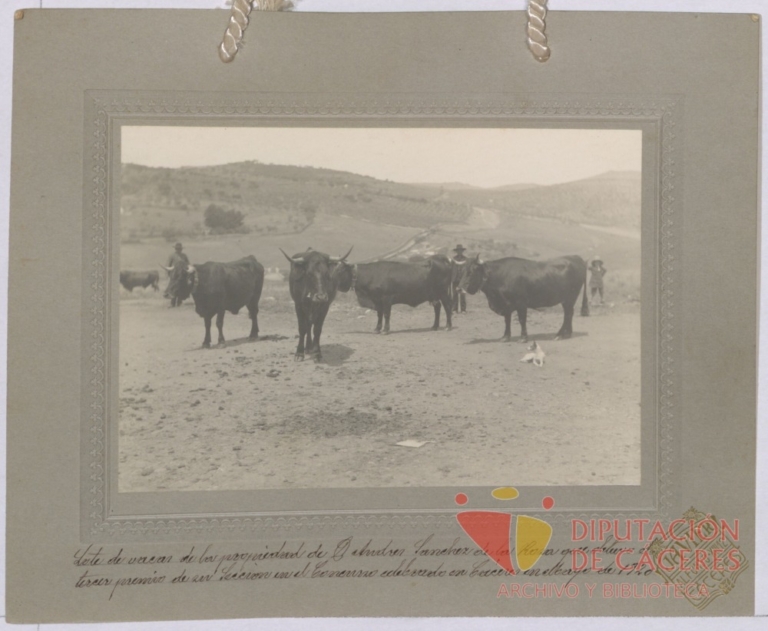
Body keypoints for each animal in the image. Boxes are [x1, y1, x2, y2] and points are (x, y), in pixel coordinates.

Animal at [458, 254, 589, 342]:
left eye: (472, 271)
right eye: (462, 271)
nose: (458, 288)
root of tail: (575, 257)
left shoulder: (521, 303)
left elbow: (522, 320)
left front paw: (523, 337)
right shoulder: (506, 304)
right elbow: (507, 320)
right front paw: (505, 337)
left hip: (570, 297)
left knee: (568, 314)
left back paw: (560, 335)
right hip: (567, 300)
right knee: (569, 314)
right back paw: (567, 334)